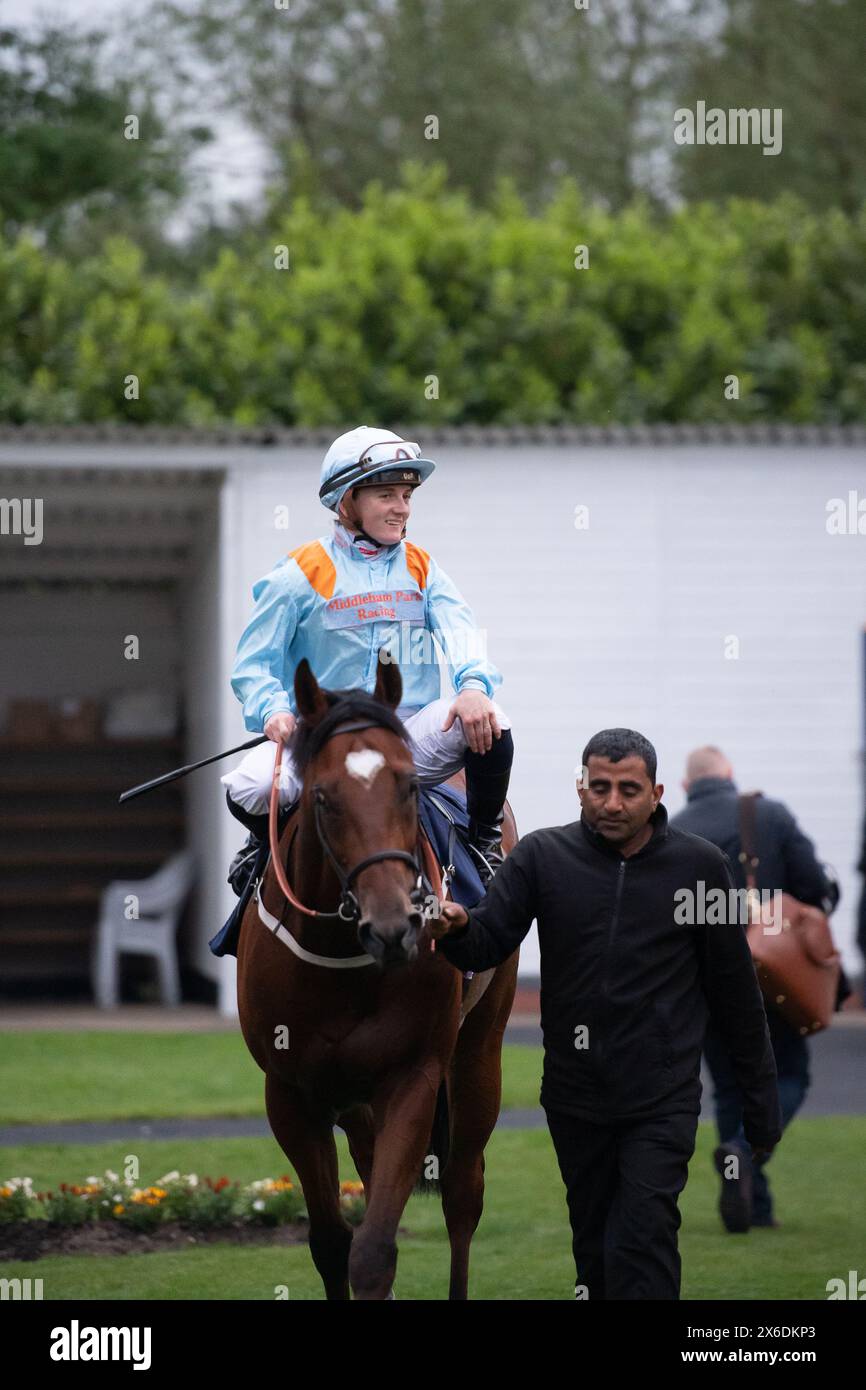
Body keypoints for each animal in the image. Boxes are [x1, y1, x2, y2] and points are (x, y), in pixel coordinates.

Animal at [233, 656, 517, 1295]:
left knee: (463, 1193)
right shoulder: (290, 1093)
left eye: (409, 786)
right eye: (322, 796)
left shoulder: (412, 1077)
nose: (394, 927)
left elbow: (373, 1250)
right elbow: (331, 1241)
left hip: (479, 1047)